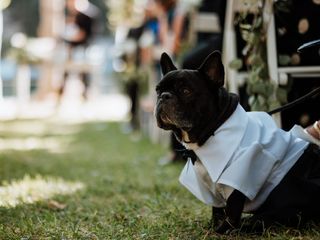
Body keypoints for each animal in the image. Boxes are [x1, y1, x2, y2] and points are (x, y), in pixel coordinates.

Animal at [154, 50, 320, 232]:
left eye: (185, 91)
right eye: (157, 90)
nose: (164, 96)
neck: (214, 130)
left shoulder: (239, 176)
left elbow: (232, 211)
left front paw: (222, 230)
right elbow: (217, 208)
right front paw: (214, 224)